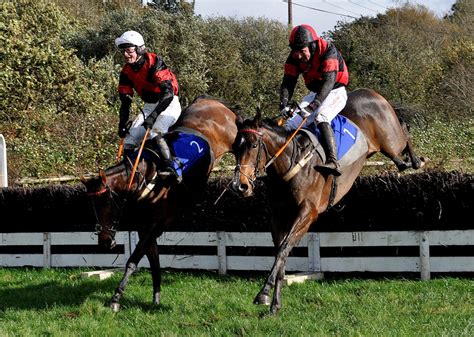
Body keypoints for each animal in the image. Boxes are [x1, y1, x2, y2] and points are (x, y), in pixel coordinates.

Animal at [80, 94, 241, 310]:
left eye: (107, 202)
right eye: (93, 206)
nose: (105, 241)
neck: (144, 176)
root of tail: (207, 100)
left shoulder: (157, 224)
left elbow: (132, 260)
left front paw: (116, 298)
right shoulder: (145, 227)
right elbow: (154, 263)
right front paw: (156, 298)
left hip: (232, 134)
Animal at [230, 88, 422, 314]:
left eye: (253, 145)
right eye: (235, 147)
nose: (240, 185)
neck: (292, 162)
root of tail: (370, 92)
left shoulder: (308, 212)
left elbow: (285, 248)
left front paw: (264, 293)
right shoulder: (278, 214)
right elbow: (281, 252)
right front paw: (273, 301)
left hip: (391, 141)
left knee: (404, 132)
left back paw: (415, 160)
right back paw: (405, 162)